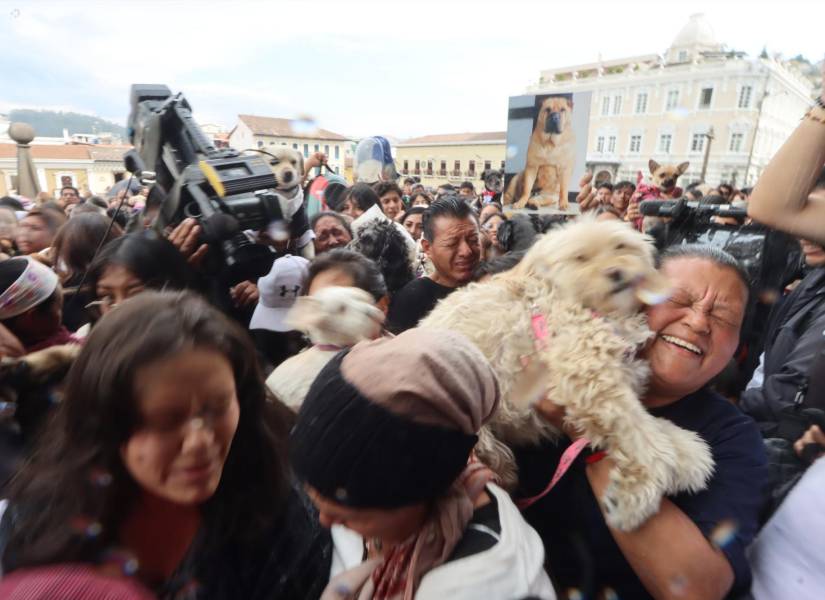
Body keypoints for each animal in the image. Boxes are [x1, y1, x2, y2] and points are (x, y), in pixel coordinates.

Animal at [418, 216, 716, 528]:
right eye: (580, 258)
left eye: (620, 246)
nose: (615, 272)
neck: (595, 311)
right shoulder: (588, 374)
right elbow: (640, 431)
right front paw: (651, 480)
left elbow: (650, 425)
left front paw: (688, 452)